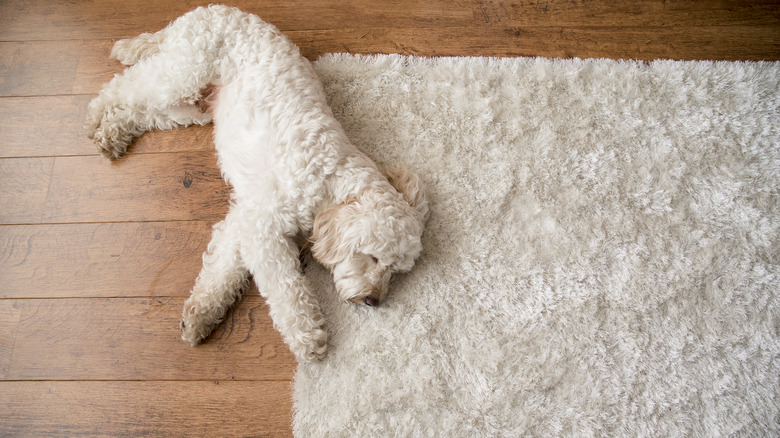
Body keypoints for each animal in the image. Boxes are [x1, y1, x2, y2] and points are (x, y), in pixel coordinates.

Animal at [85, 6, 430, 362]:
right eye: (373, 257)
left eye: (395, 272)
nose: (374, 300)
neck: (328, 179)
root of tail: (211, 9)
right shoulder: (265, 227)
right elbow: (287, 288)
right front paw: (308, 336)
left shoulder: (245, 219)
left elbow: (222, 268)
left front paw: (201, 314)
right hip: (180, 75)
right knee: (124, 86)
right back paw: (96, 116)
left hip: (190, 106)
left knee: (142, 110)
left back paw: (112, 132)